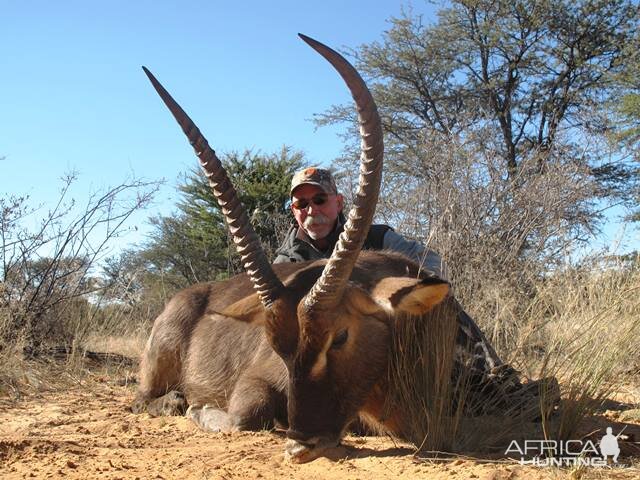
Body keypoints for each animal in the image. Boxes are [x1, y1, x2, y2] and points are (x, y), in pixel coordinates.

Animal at [135, 33, 456, 462]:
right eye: (278, 348)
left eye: (341, 335)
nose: (303, 443)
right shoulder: (256, 381)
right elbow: (245, 417)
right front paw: (203, 409)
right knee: (145, 400)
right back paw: (178, 401)